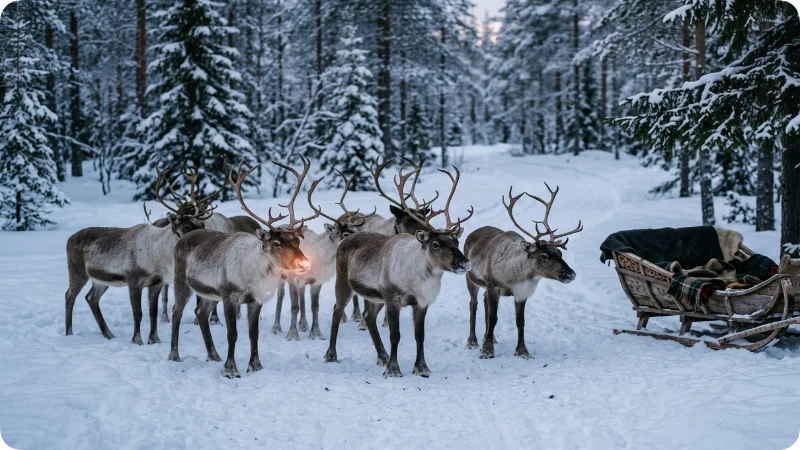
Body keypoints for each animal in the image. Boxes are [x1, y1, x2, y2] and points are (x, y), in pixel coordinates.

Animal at [64, 167, 223, 345]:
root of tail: (69, 239)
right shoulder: (134, 281)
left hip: (100, 279)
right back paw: (69, 332)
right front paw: (137, 340)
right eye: (187, 226)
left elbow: (153, 311)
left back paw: (109, 334)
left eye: (201, 224)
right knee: (69, 295)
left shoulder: (156, 283)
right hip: (77, 270)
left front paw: (154, 339)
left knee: (91, 298)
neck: (158, 255)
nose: (205, 237)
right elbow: (138, 313)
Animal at [168, 156, 318, 378]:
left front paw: (255, 365)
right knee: (176, 311)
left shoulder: (255, 300)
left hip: (211, 293)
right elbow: (233, 334)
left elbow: (253, 334)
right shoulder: (230, 296)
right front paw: (230, 369)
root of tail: (183, 237)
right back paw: (174, 355)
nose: (304, 263)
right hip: (182, 282)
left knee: (200, 312)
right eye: (276, 243)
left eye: (297, 241)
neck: (254, 275)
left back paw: (213, 354)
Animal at [271, 171, 375, 340]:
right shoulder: (294, 279)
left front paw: (315, 333)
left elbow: (315, 306)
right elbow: (294, 306)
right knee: (281, 296)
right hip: (281, 275)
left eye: (356, 230)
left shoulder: (316, 281)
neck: (322, 256)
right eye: (346, 234)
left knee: (302, 297)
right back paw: (276, 327)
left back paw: (303, 325)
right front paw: (292, 335)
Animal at [324, 158, 473, 378]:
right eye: (436, 244)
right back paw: (331, 355)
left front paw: (421, 367)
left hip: (376, 296)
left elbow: (420, 336)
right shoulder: (393, 299)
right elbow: (395, 335)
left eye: (456, 241)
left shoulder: (421, 303)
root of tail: (347, 237)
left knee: (369, 317)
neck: (419, 279)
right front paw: (393, 369)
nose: (464, 263)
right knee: (336, 311)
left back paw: (382, 356)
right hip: (344, 282)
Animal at [463, 183, 582, 359]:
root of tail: (472, 233)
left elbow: (520, 321)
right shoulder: (493, 286)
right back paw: (473, 341)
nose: (571, 274)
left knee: (484, 301)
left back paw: (490, 337)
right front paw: (487, 351)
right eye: (544, 255)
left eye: (560, 253)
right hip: (470, 278)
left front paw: (522, 351)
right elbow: (493, 318)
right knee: (473, 304)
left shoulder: (521, 293)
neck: (515, 277)